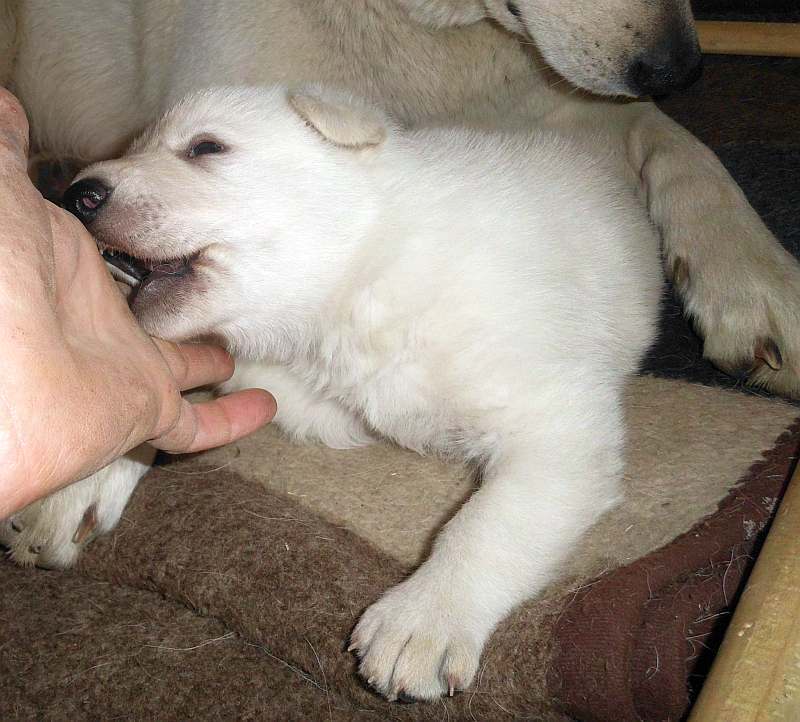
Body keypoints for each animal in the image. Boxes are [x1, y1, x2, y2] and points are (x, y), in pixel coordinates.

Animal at [56, 86, 660, 696]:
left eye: (206, 147)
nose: (75, 195)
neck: (361, 273)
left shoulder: (556, 416)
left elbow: (491, 520)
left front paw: (422, 620)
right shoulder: (296, 390)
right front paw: (81, 489)